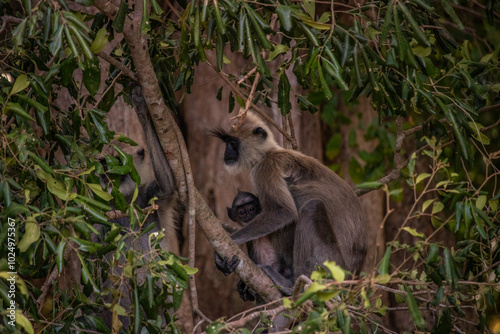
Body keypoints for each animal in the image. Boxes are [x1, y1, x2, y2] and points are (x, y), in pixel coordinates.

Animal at [213, 112, 370, 292]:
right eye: (227, 143)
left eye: (233, 143)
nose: (226, 153)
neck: (269, 153)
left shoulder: (265, 169)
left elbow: (284, 213)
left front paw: (231, 241)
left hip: (333, 266)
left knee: (311, 207)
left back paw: (294, 286)